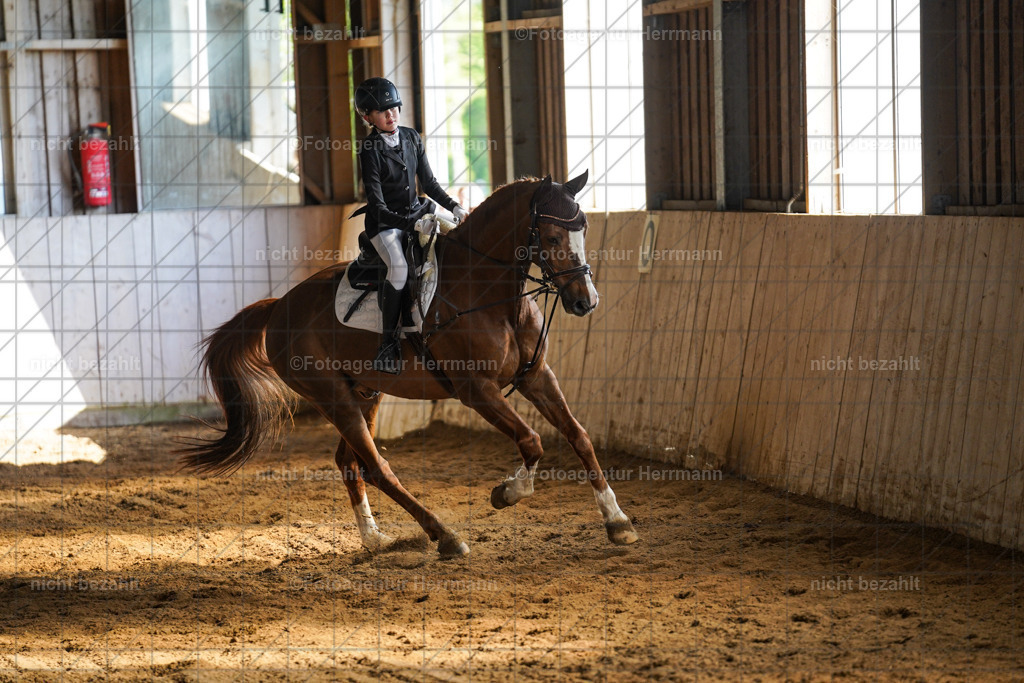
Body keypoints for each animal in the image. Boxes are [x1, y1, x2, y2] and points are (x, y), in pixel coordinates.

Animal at [178, 171, 639, 558]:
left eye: (583, 229)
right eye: (552, 235)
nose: (585, 301)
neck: (487, 291)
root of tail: (278, 306)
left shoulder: (536, 375)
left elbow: (578, 437)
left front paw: (617, 521)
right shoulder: (477, 390)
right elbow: (532, 441)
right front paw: (507, 492)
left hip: (365, 392)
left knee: (350, 463)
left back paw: (375, 538)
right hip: (332, 396)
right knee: (377, 467)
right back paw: (445, 536)